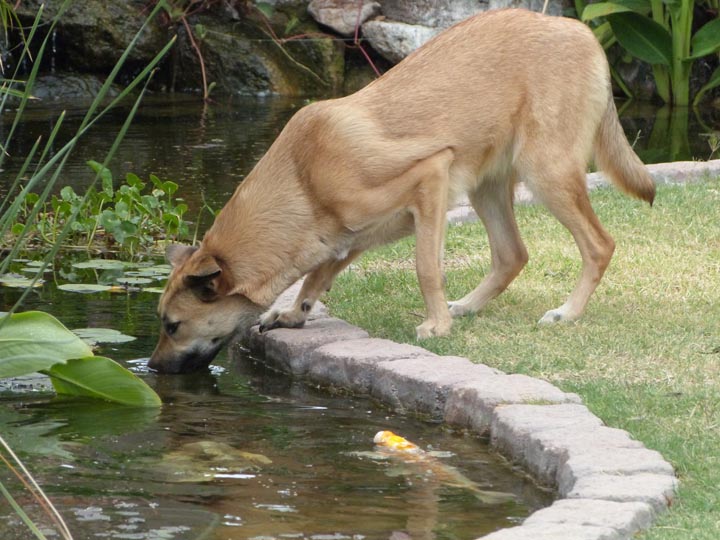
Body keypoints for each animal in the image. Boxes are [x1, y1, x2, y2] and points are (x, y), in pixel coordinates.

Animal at [149, 8, 656, 374]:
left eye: (173, 326)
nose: (152, 369)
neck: (304, 180)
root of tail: (578, 29)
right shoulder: (350, 234)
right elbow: (318, 275)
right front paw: (295, 313)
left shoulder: (429, 178)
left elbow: (426, 269)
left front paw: (437, 325)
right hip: (488, 188)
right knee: (513, 254)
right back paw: (469, 305)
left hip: (546, 173)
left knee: (598, 245)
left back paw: (567, 313)